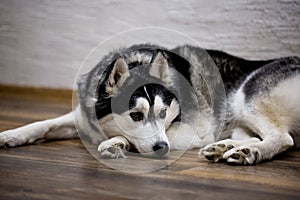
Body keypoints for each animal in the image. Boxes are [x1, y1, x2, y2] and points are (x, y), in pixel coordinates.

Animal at [0, 44, 298, 165]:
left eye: (164, 112)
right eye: (135, 115)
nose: (162, 148)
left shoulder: (190, 132)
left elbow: (136, 140)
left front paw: (116, 143)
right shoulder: (84, 116)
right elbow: (44, 124)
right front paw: (11, 134)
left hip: (247, 96)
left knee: (282, 138)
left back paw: (249, 153)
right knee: (255, 136)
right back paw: (226, 148)